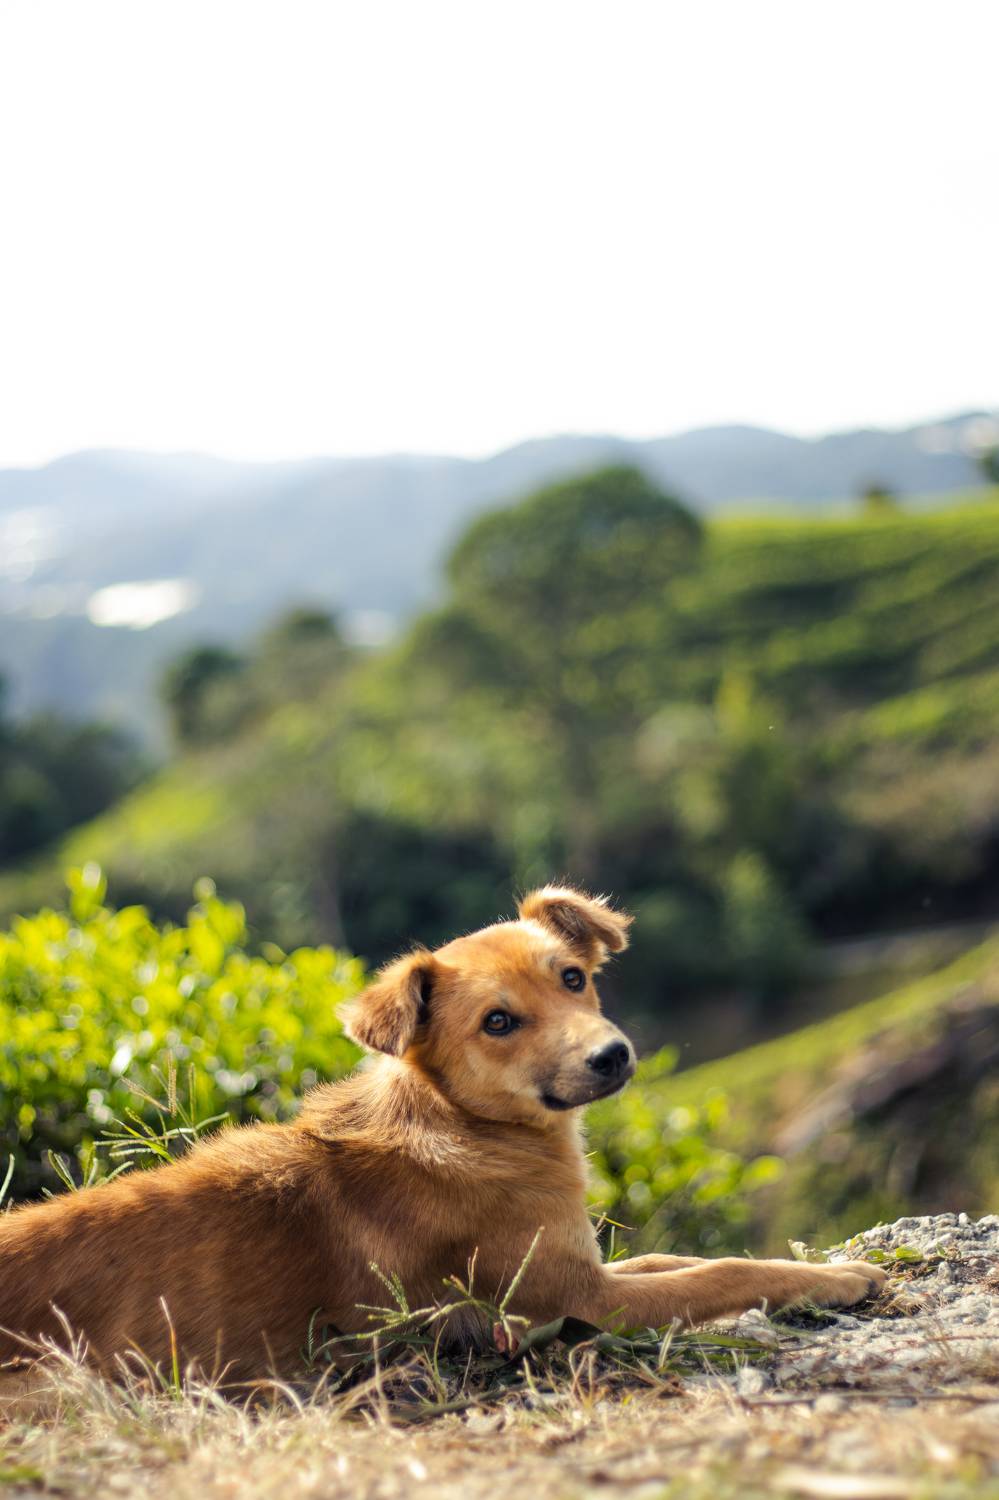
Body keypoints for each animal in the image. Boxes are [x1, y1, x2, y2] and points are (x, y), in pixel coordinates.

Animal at [0, 886, 885, 1385]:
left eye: (573, 977)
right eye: (497, 1021)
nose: (611, 1055)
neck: (465, 1128)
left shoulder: (582, 1268)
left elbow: (674, 1258)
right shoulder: (580, 1298)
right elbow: (722, 1272)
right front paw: (836, 1278)